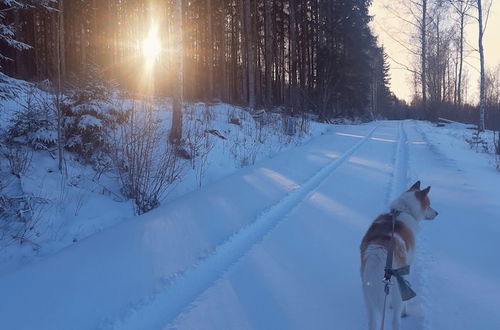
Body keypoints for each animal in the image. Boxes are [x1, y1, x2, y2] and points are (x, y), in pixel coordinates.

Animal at [360, 180, 438, 330]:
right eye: (429, 204)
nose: (437, 213)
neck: (403, 210)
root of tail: (379, 254)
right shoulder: (407, 269)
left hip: (367, 297)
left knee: (372, 322)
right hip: (396, 291)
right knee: (396, 321)